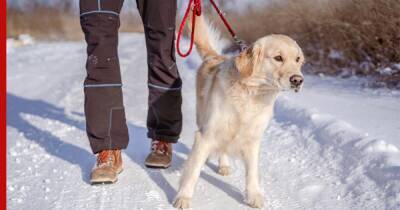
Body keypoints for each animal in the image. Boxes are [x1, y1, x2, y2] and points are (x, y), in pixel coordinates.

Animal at [173, 14, 304, 208]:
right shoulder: (206, 134)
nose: (298, 80)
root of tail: (214, 56)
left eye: (297, 59)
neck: (251, 94)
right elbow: (193, 170)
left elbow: (252, 172)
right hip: (202, 116)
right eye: (278, 58)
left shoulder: (253, 139)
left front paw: (254, 195)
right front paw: (183, 197)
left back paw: (224, 165)